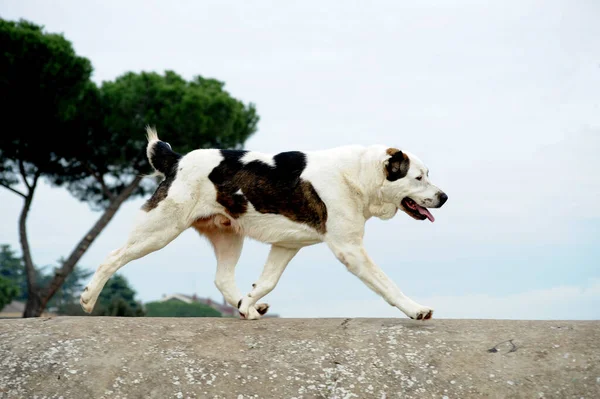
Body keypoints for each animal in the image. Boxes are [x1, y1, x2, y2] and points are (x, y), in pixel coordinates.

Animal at [79, 129, 448, 322]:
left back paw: (250, 310)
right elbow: (387, 284)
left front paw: (249, 303)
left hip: (228, 236)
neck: (357, 176)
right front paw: (416, 310)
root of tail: (176, 159)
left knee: (221, 278)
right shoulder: (350, 249)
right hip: (159, 230)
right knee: (113, 257)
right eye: (418, 177)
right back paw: (87, 299)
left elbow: (267, 281)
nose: (444, 197)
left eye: (427, 175)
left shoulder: (286, 245)